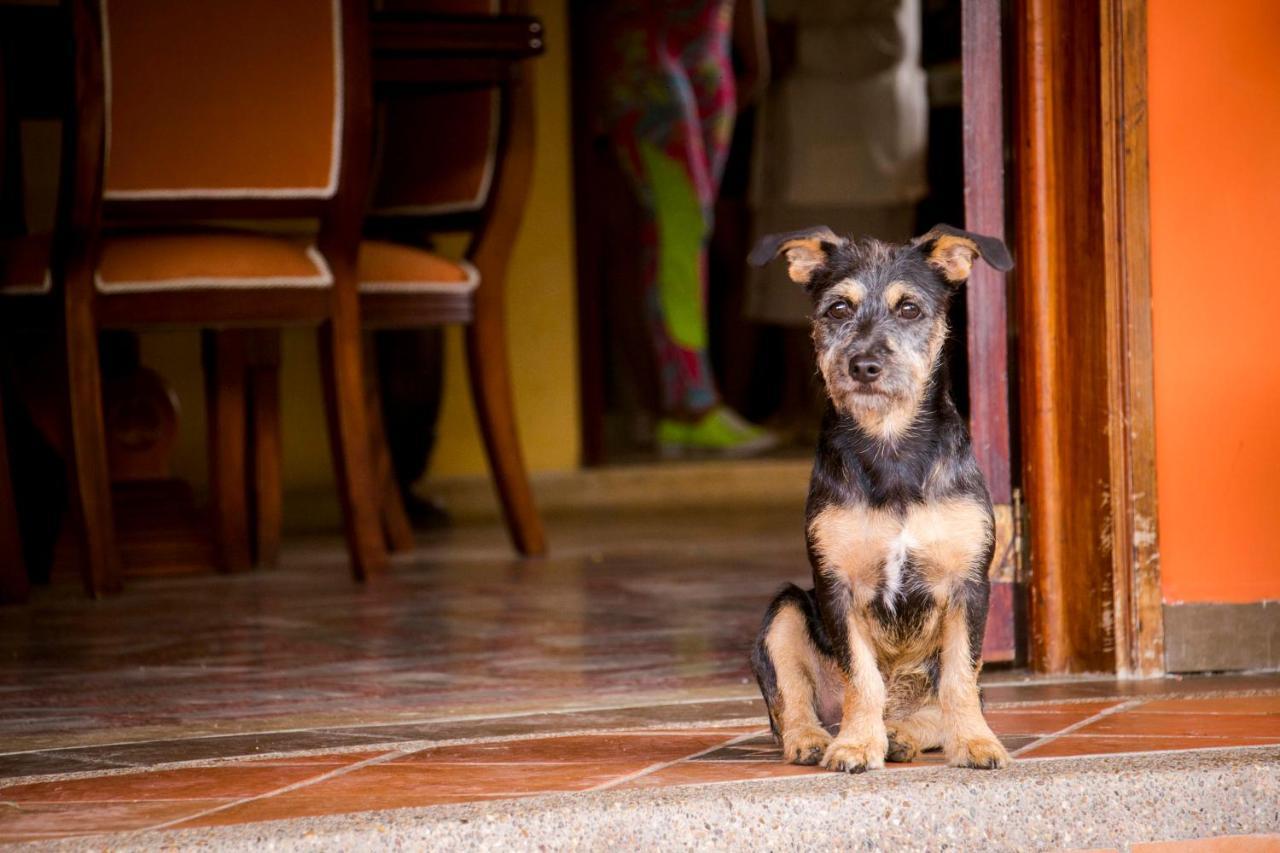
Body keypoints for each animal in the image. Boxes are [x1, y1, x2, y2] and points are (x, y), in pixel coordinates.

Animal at [747, 222, 1008, 768]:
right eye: (837, 310)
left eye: (908, 309)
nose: (863, 365)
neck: (890, 446)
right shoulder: (835, 587)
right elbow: (861, 678)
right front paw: (855, 744)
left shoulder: (970, 586)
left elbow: (960, 678)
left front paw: (976, 743)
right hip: (785, 610)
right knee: (791, 705)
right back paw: (814, 740)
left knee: (938, 706)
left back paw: (903, 735)